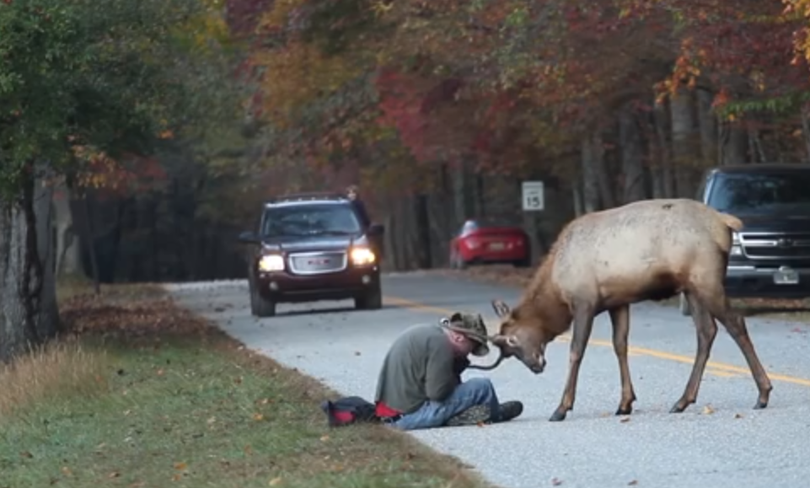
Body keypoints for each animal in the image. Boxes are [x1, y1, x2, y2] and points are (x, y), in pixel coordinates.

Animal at [468, 196, 772, 422]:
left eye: (512, 340)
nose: (535, 366)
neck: (557, 290)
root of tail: (725, 223)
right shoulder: (618, 302)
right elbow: (620, 345)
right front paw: (625, 402)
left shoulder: (584, 301)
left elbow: (576, 351)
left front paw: (562, 407)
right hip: (691, 286)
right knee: (706, 332)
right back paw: (683, 400)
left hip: (705, 278)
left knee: (735, 322)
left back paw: (763, 393)